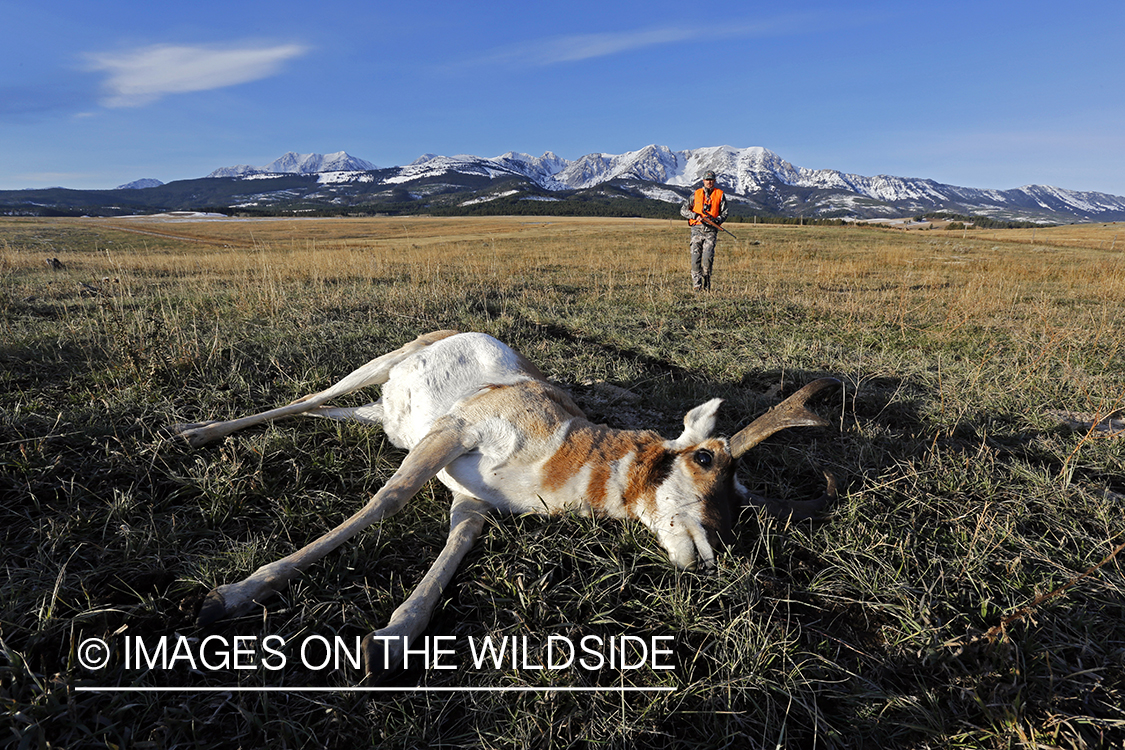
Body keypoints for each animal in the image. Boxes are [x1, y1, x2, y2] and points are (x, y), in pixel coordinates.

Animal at [175, 330, 841, 670]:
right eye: (707, 460)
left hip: (385, 419)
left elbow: (453, 550)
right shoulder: (454, 433)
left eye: (745, 498)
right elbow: (389, 499)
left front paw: (391, 639)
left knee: (325, 412)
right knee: (309, 398)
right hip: (379, 371)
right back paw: (194, 433)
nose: (720, 546)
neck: (567, 448)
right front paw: (234, 595)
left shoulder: (472, 502)